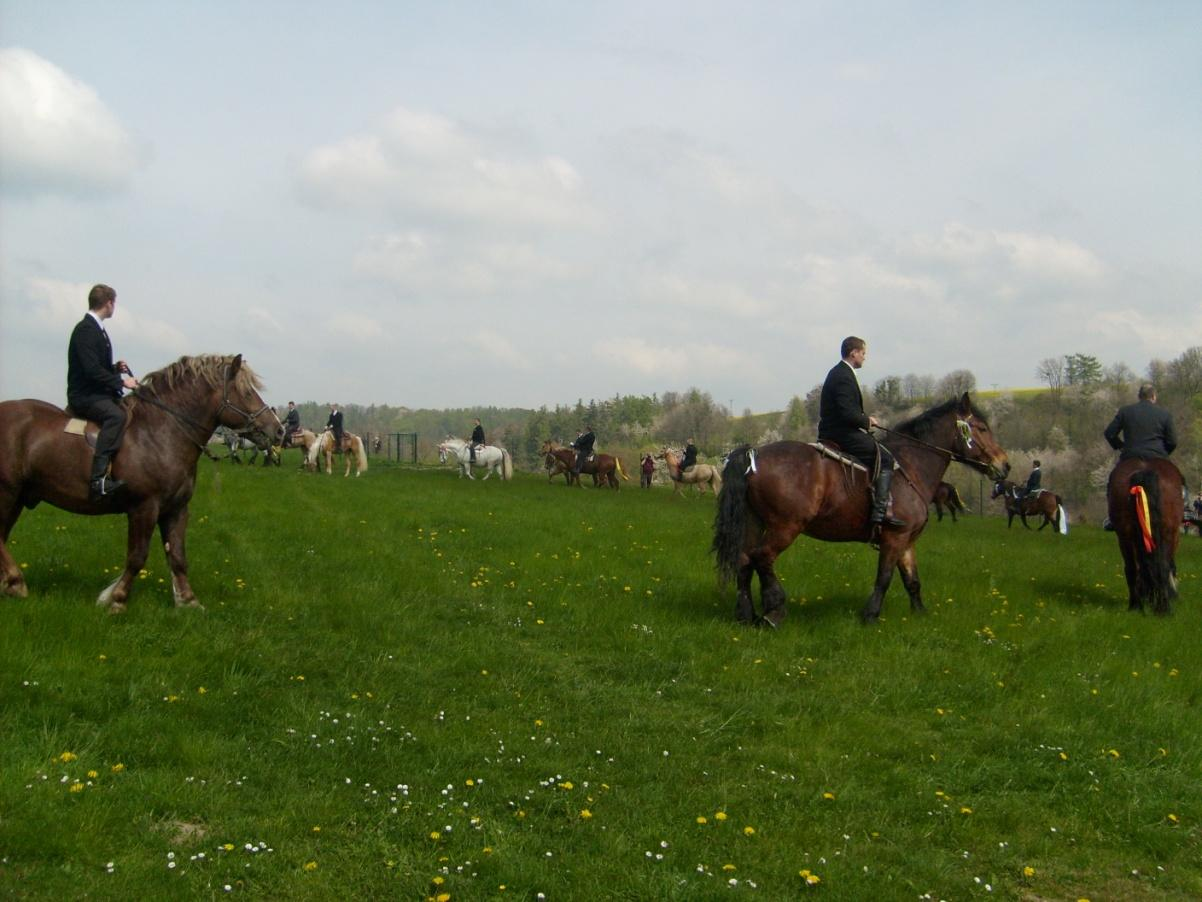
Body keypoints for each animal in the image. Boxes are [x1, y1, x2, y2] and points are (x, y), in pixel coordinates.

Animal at [0, 353, 278, 615]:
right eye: (247, 392)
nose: (277, 430)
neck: (160, 433)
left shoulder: (176, 509)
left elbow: (178, 556)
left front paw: (188, 601)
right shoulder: (144, 508)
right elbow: (137, 557)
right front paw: (116, 599)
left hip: (17, 497)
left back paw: (10, 584)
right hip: (8, 493)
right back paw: (17, 582)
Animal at [706, 394, 1009, 630]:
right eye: (981, 428)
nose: (1004, 465)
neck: (910, 467)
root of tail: (753, 455)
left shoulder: (906, 540)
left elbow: (912, 580)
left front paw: (920, 613)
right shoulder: (893, 538)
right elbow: (884, 579)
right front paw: (871, 615)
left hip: (754, 523)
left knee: (745, 560)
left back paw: (746, 615)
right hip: (785, 527)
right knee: (762, 558)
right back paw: (774, 610)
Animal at [1105, 459, 1182, 615]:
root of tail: (1144, 471)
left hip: (1125, 535)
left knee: (1133, 568)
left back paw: (1137, 606)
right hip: (1168, 533)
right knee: (1161, 567)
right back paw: (1159, 608)